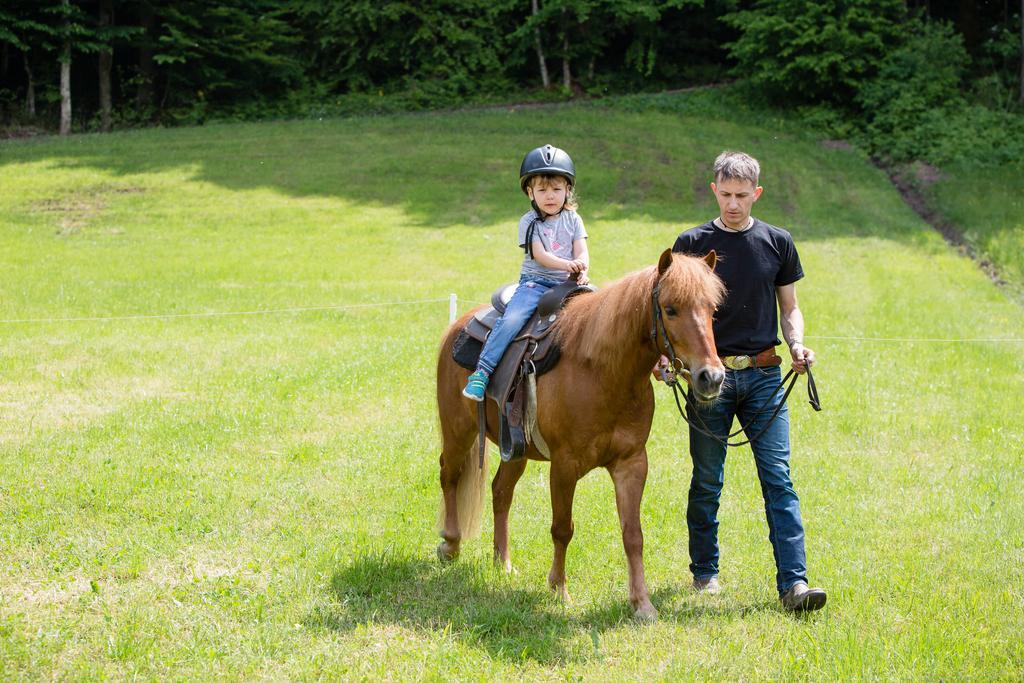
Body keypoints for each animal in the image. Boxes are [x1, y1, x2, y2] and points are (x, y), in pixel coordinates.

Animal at [436, 249, 724, 618]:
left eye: (712, 309)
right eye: (671, 309)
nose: (711, 377)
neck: (603, 371)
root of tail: (459, 325)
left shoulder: (632, 463)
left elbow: (633, 534)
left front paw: (641, 603)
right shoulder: (564, 466)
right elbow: (562, 529)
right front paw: (559, 589)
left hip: (514, 449)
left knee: (500, 492)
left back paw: (503, 562)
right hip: (458, 431)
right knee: (450, 476)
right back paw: (450, 544)